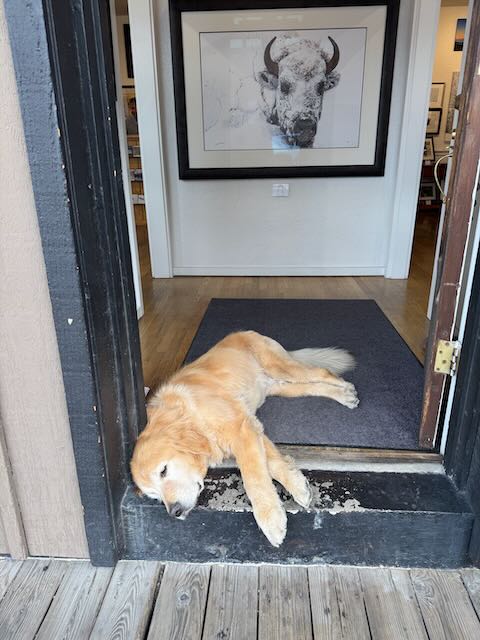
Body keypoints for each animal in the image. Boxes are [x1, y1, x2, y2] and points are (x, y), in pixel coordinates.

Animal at [131, 330, 358, 546]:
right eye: (155, 496)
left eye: (163, 471)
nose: (175, 512)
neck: (191, 417)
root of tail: (245, 332)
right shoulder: (250, 426)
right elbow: (274, 464)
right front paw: (298, 486)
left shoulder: (241, 429)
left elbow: (254, 478)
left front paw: (271, 520)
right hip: (281, 386)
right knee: (312, 386)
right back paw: (342, 395)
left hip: (281, 368)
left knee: (322, 372)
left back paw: (345, 388)